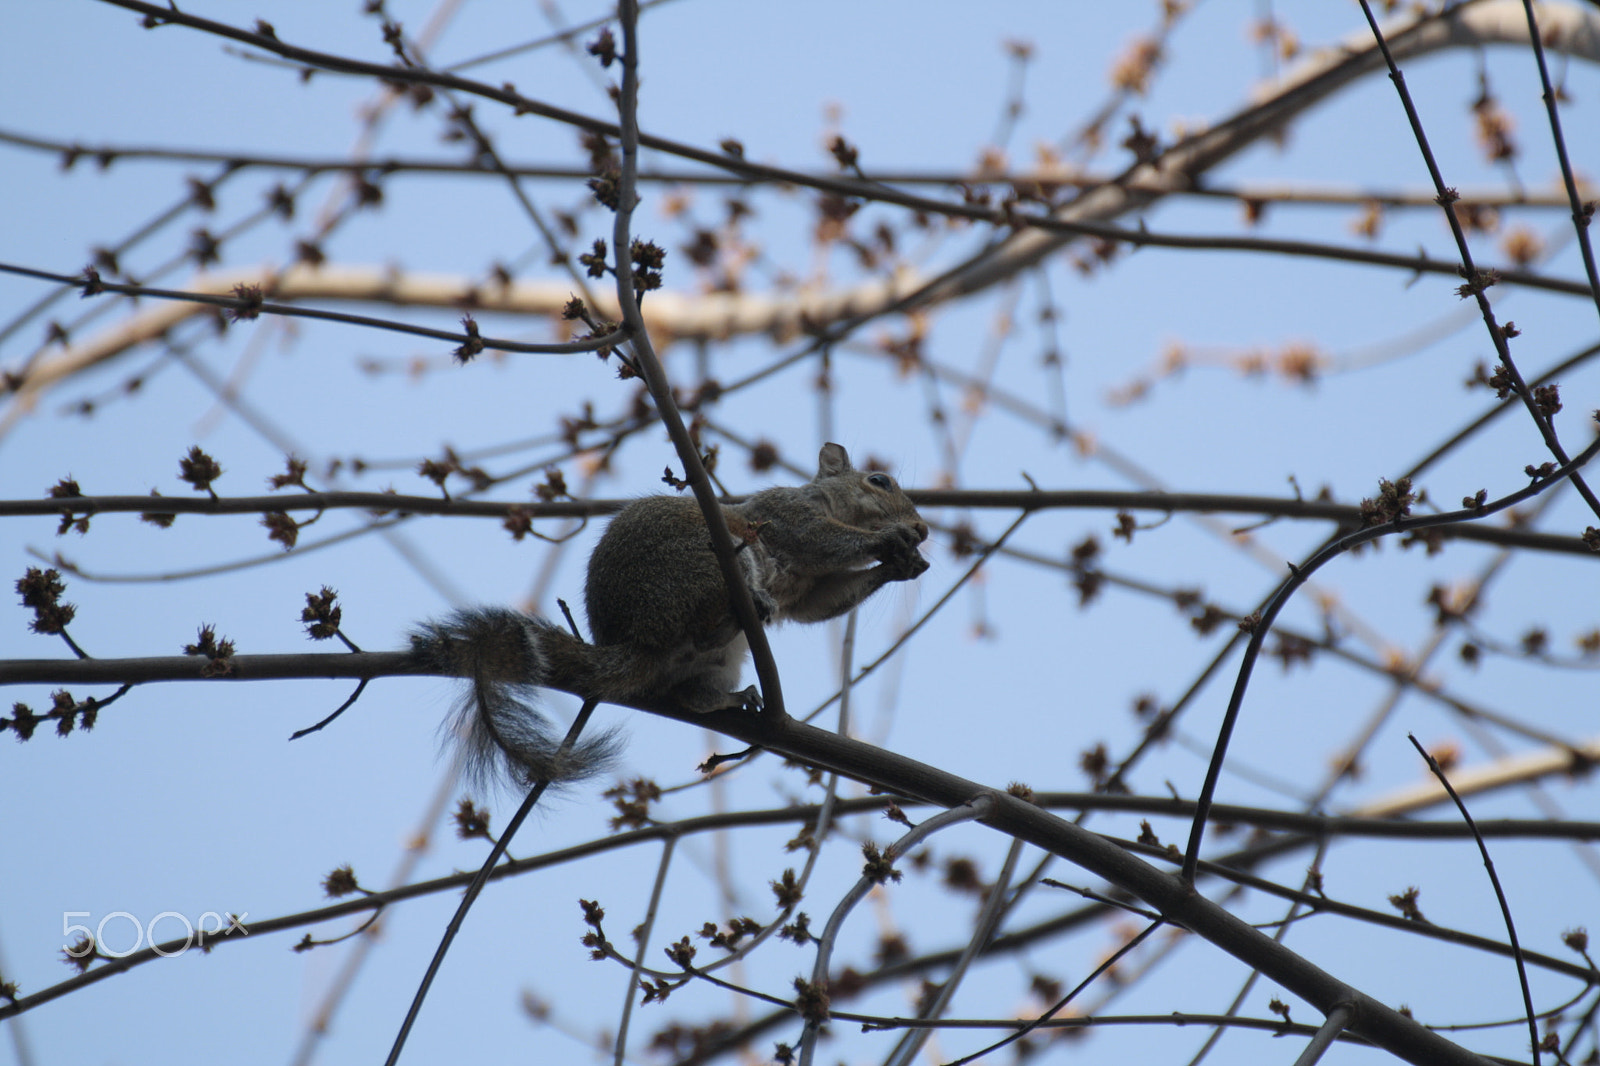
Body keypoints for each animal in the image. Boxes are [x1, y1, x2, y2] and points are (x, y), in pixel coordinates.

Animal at [409, 443, 930, 790]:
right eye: (879, 481)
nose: (922, 529)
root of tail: (640, 639)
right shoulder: (789, 517)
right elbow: (823, 538)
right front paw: (888, 541)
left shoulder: (810, 590)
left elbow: (822, 603)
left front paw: (901, 566)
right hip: (705, 558)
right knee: (707, 623)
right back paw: (749, 608)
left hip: (714, 658)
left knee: (692, 691)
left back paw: (736, 695)